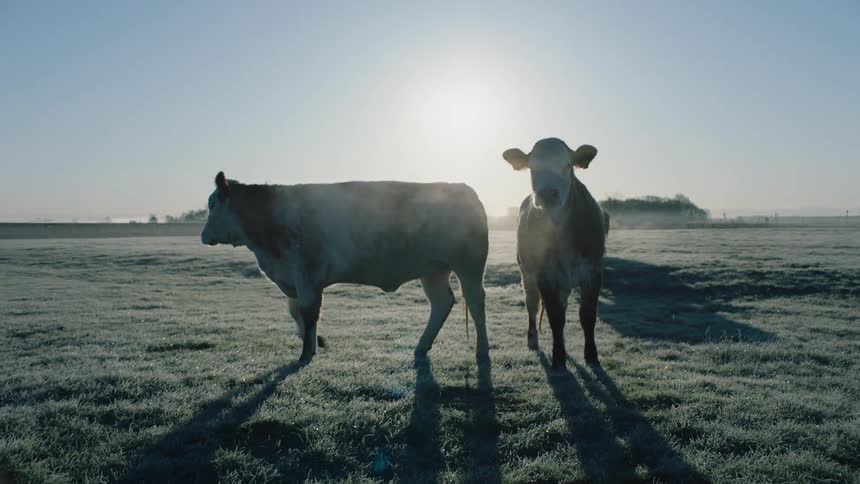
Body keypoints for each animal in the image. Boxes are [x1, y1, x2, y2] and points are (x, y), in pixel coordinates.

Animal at [201, 172, 490, 365]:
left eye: (212, 205)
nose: (203, 236)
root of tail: (465, 189)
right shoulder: (294, 280)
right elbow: (295, 312)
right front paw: (315, 341)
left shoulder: (307, 275)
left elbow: (308, 313)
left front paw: (306, 353)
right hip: (432, 269)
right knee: (441, 303)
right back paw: (422, 346)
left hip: (469, 265)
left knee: (476, 302)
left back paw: (482, 350)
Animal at [503, 138, 607, 368]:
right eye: (532, 167)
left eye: (567, 166)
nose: (547, 193)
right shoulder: (546, 275)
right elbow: (555, 317)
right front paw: (559, 357)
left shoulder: (593, 272)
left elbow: (587, 315)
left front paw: (591, 355)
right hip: (527, 274)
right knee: (532, 304)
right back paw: (532, 338)